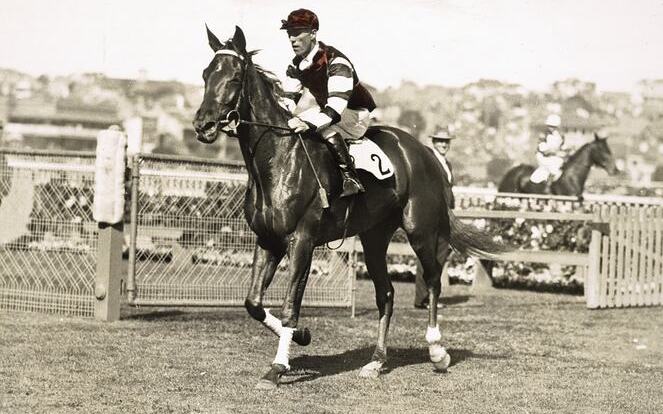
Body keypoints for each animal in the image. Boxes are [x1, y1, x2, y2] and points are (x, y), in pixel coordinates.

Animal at [192, 27, 508, 390]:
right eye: (205, 75)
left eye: (233, 78)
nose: (203, 125)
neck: (277, 160)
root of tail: (424, 152)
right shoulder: (267, 240)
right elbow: (254, 303)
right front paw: (301, 335)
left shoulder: (301, 241)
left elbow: (289, 306)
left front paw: (278, 367)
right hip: (374, 238)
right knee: (386, 294)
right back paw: (376, 361)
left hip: (421, 230)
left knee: (432, 281)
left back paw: (437, 351)